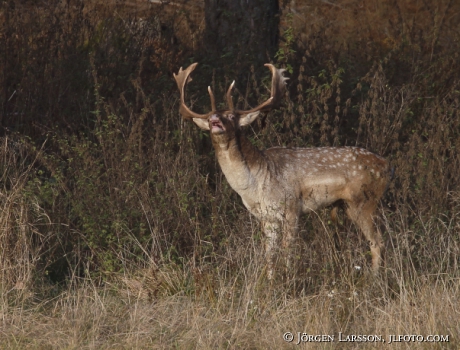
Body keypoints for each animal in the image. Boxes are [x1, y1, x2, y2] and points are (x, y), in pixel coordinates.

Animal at [174, 62, 390, 276]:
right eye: (210, 115)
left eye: (232, 116)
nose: (215, 120)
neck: (257, 184)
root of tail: (387, 166)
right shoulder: (267, 218)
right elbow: (269, 255)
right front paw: (270, 281)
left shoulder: (292, 207)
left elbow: (288, 252)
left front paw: (288, 278)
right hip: (348, 205)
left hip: (364, 201)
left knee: (377, 242)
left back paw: (373, 278)